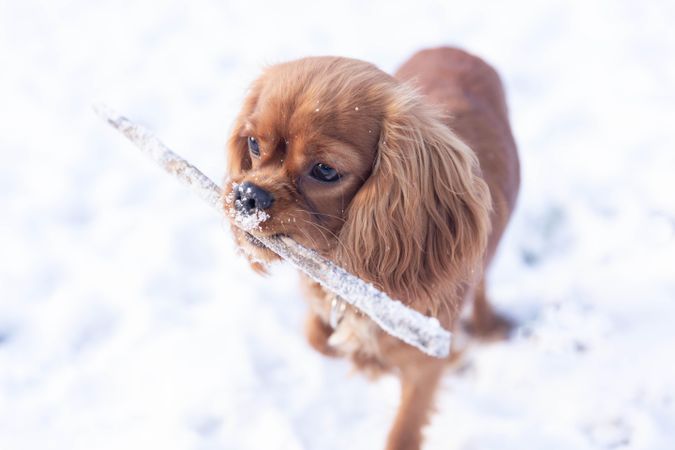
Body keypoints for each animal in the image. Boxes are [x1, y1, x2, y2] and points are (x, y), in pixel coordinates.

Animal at [224, 47, 520, 448]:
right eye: (253, 144)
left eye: (326, 171)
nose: (248, 194)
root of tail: (456, 49)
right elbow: (317, 337)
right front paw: (360, 356)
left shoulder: (425, 369)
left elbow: (403, 432)